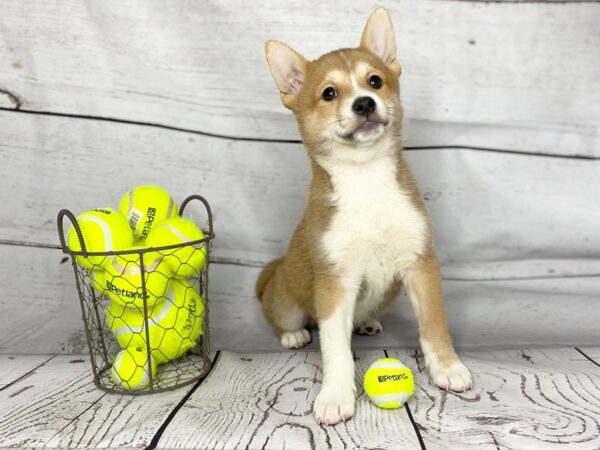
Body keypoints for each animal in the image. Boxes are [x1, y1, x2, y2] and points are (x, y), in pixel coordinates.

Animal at [255, 7, 472, 424]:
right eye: (329, 93)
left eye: (375, 81)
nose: (365, 103)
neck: (367, 178)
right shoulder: (335, 282)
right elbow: (334, 347)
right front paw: (336, 395)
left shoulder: (421, 264)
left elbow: (434, 324)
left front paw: (447, 367)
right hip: (287, 303)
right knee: (285, 321)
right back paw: (294, 335)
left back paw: (367, 322)